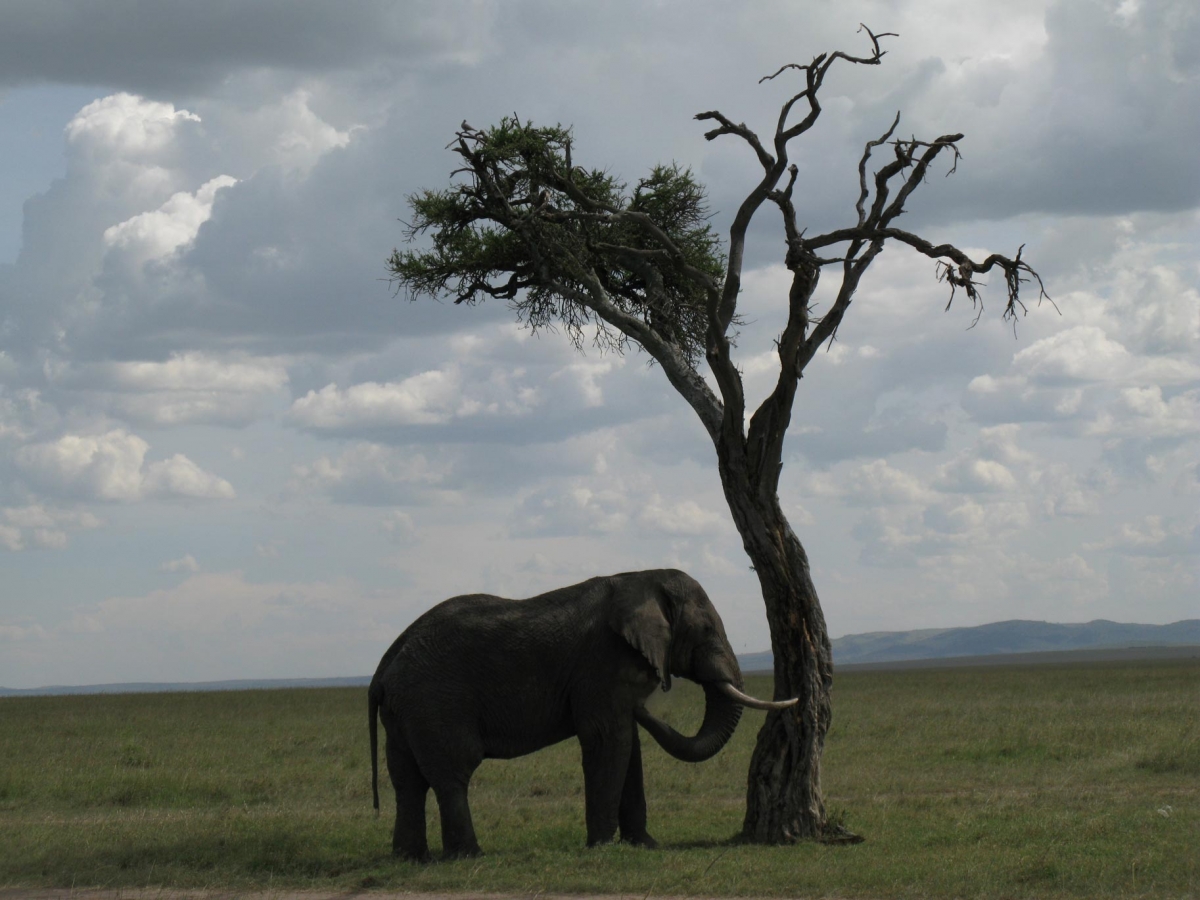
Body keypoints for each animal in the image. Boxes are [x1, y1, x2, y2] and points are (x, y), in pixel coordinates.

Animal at [364, 571, 796, 859]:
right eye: (706, 629)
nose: (647, 707)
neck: (642, 577)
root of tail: (385, 664)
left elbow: (629, 747)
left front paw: (645, 845)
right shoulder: (603, 664)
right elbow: (609, 740)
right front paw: (602, 847)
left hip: (405, 711)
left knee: (407, 781)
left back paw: (411, 859)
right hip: (435, 702)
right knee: (453, 773)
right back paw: (470, 855)